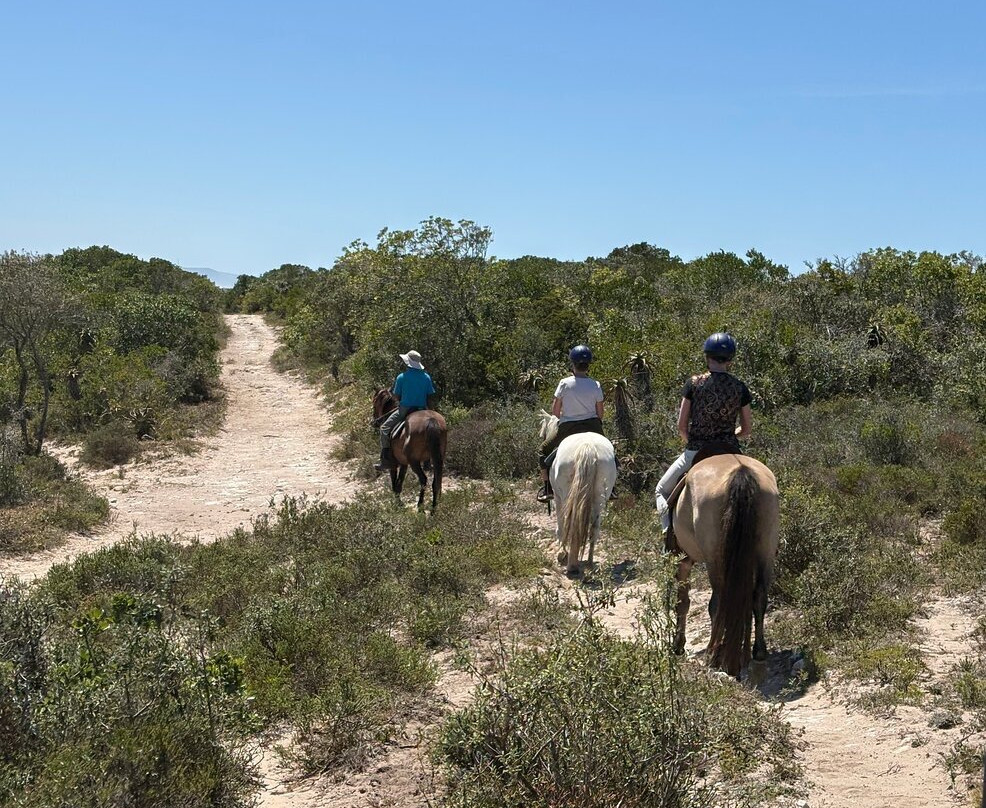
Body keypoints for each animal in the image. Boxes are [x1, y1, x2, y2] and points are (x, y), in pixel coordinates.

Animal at [539, 412, 618, 576]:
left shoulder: (558, 498)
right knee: (594, 529)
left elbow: (561, 526)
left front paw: (561, 553)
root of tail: (588, 447)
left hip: (566, 495)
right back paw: (589, 563)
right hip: (599, 498)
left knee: (570, 524)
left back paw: (571, 564)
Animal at [670, 453, 780, 679]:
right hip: (766, 550)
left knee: (718, 601)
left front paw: (678, 645)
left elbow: (682, 602)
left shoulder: (683, 560)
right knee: (759, 597)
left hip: (714, 559)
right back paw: (758, 651)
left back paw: (712, 654)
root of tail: (741, 471)